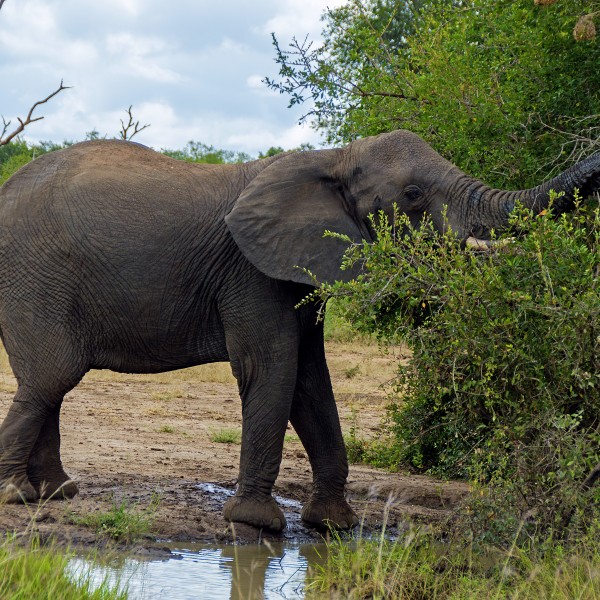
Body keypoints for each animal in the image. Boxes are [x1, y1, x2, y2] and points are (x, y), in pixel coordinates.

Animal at [0, 130, 596, 528]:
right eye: (412, 195)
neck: (333, 158)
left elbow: (312, 380)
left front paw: (332, 525)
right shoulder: (250, 272)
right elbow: (273, 369)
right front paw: (257, 523)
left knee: (46, 385)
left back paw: (56, 493)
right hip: (35, 278)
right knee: (51, 378)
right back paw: (17, 496)